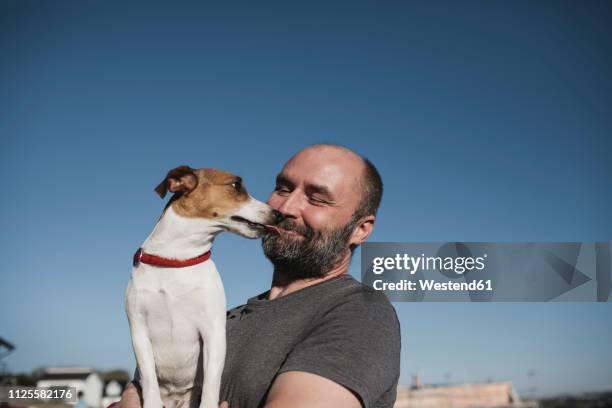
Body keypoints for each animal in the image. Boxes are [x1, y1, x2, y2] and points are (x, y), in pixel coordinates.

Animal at [128, 165, 282, 408]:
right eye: (236, 185)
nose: (280, 215)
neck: (177, 260)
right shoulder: (138, 330)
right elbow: (148, 377)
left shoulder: (213, 331)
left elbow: (212, 382)